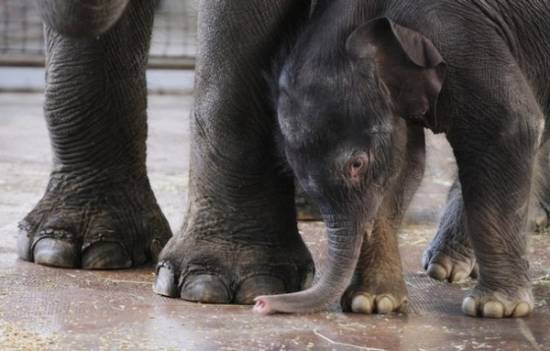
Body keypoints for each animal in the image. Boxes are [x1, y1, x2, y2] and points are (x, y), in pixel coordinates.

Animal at [256, 0, 550, 320]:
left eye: (357, 164)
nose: (260, 302)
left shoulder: (454, 33)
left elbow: (509, 126)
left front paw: (496, 308)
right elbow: (403, 168)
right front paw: (371, 303)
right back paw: (445, 265)